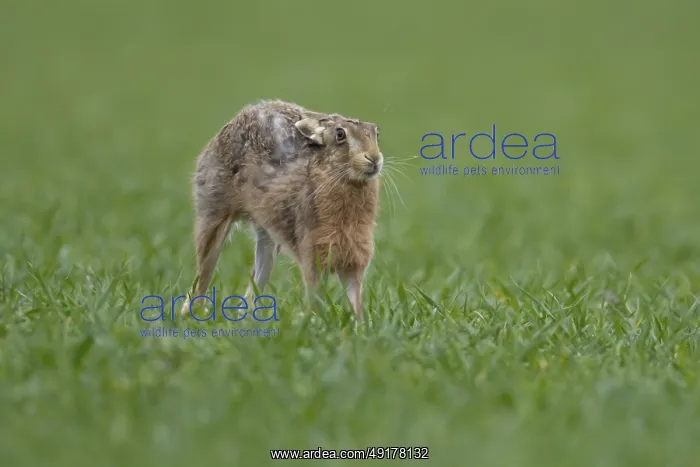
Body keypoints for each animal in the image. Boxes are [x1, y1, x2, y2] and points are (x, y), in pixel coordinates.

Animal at [179, 99, 383, 321]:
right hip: (213, 214)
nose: (374, 159)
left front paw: (359, 324)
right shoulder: (312, 259)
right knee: (203, 273)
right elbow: (315, 296)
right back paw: (191, 313)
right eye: (340, 134)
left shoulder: (353, 264)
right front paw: (315, 321)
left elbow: (355, 300)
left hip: (268, 238)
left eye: (376, 133)